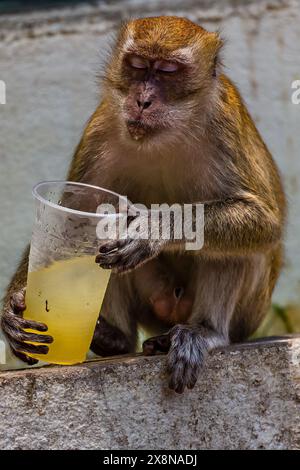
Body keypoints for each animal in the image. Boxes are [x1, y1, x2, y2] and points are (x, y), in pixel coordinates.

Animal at [0, 15, 286, 392]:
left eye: (167, 71)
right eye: (136, 65)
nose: (143, 100)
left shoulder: (224, 127)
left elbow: (263, 221)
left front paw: (153, 228)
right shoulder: (101, 126)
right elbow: (74, 220)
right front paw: (14, 306)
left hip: (249, 312)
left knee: (236, 251)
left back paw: (203, 331)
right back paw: (114, 338)